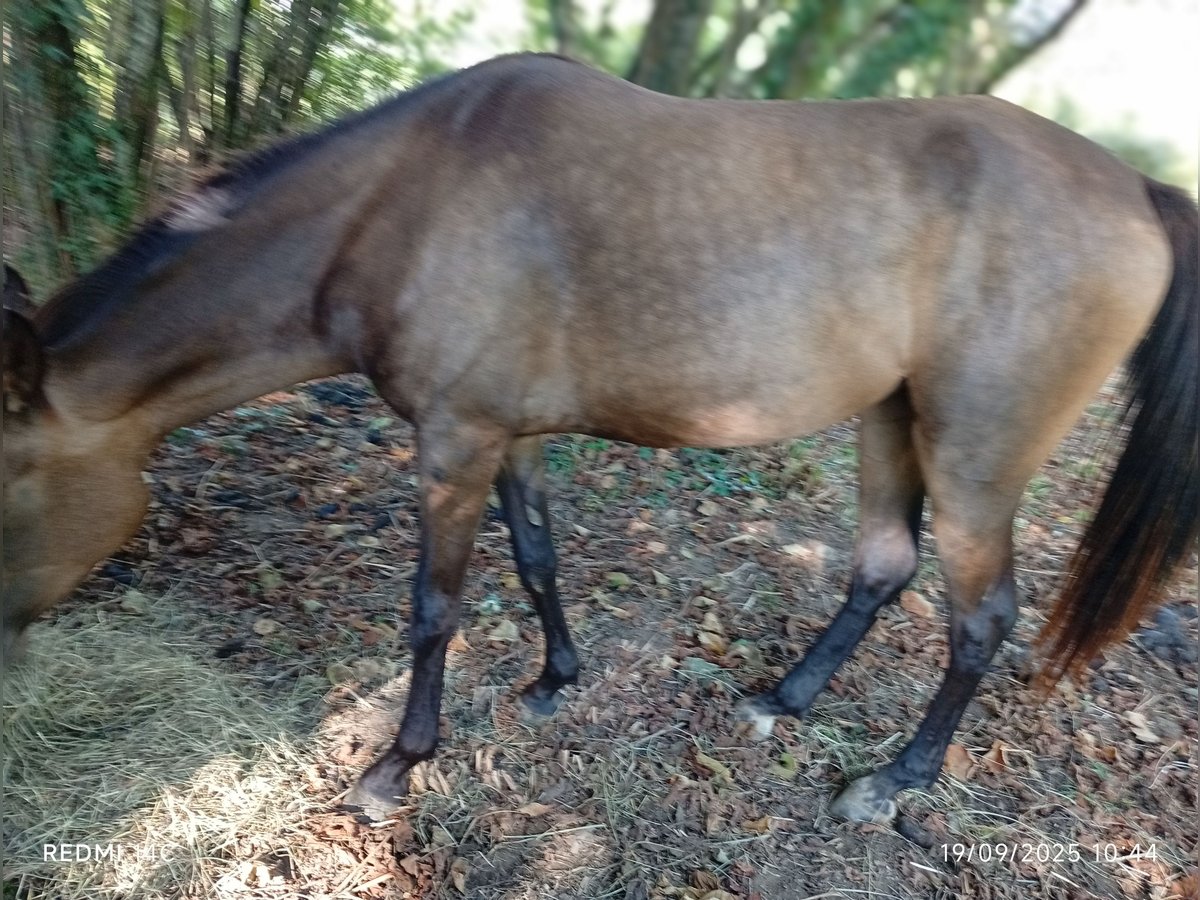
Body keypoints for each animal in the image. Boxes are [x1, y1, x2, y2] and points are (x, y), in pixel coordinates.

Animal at [2, 53, 1195, 826]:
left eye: (8, 480)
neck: (400, 205)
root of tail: (1137, 187)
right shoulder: (508, 435)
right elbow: (536, 558)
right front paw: (553, 680)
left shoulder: (454, 442)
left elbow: (434, 609)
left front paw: (396, 768)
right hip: (890, 419)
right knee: (883, 567)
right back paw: (784, 700)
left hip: (973, 457)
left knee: (979, 619)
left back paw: (892, 783)